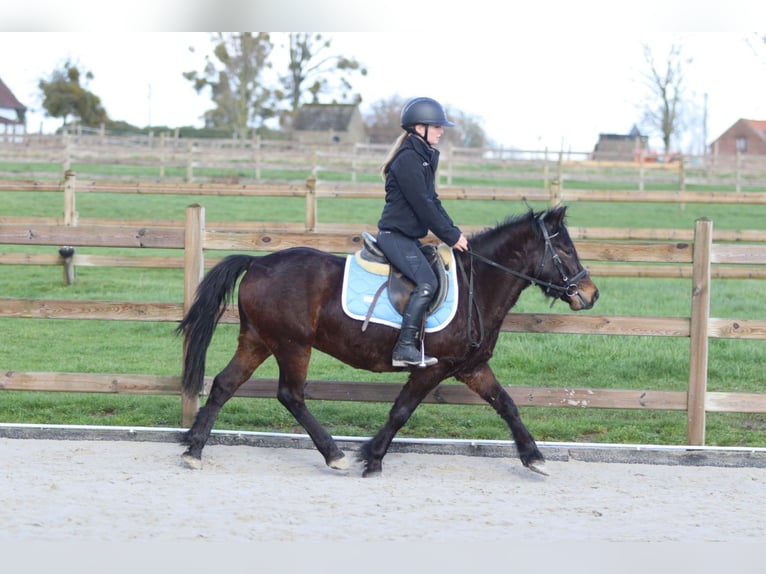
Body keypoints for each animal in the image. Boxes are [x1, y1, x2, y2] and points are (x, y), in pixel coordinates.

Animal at [176, 205, 599, 477]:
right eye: (564, 249)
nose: (591, 294)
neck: (478, 284)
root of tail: (258, 262)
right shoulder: (433, 368)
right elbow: (401, 411)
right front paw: (372, 457)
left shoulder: (472, 367)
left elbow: (508, 405)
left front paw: (534, 457)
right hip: (292, 345)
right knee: (290, 395)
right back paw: (335, 455)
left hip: (258, 341)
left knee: (224, 385)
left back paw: (194, 449)